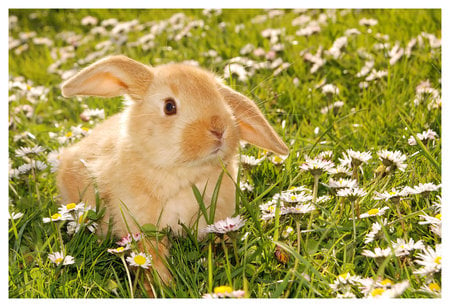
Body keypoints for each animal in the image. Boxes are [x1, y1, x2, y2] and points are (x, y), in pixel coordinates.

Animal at [57, 54, 288, 286]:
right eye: (169, 106)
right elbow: (152, 258)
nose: (219, 129)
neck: (184, 171)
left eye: (222, 100)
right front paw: (163, 286)